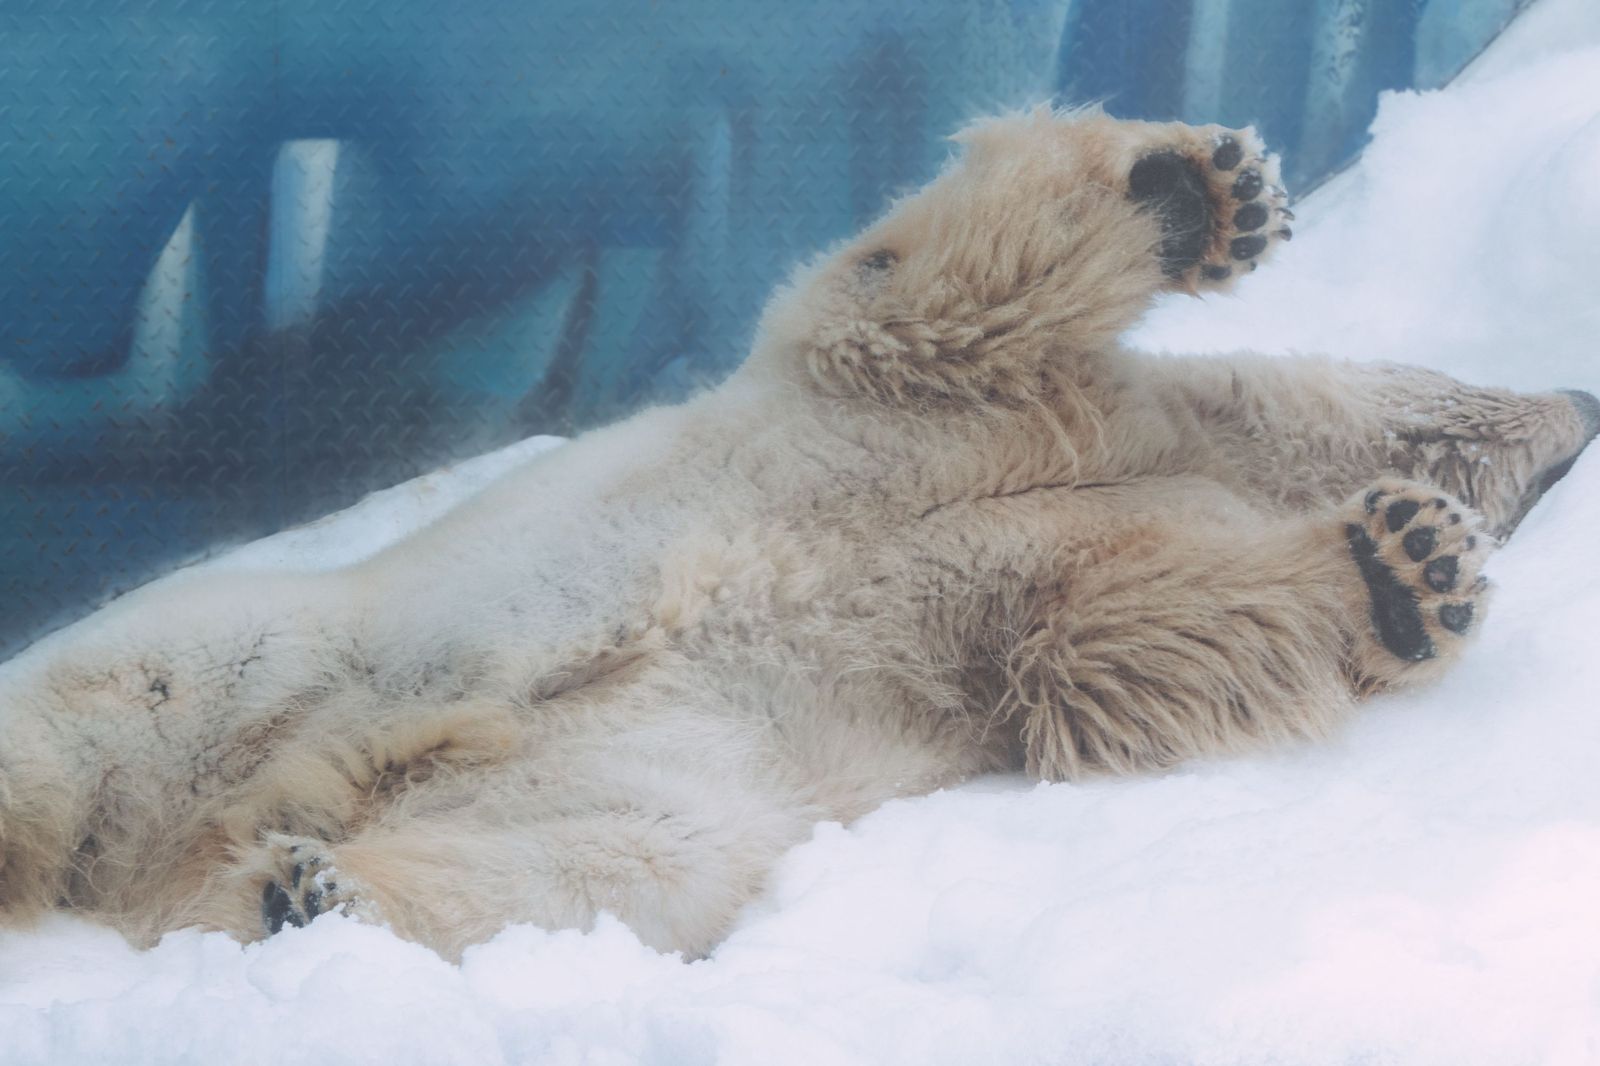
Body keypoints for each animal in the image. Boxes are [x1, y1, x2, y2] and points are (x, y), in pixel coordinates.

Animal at [0, 108, 1595, 961]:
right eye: (1480, 413)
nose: (1580, 399)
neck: (1155, 446)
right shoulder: (924, 395)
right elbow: (937, 286)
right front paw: (1208, 192)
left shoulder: (1045, 570)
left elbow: (1108, 649)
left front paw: (1406, 572)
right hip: (261, 644)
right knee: (85, 728)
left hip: (628, 782)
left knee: (604, 865)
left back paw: (308, 893)